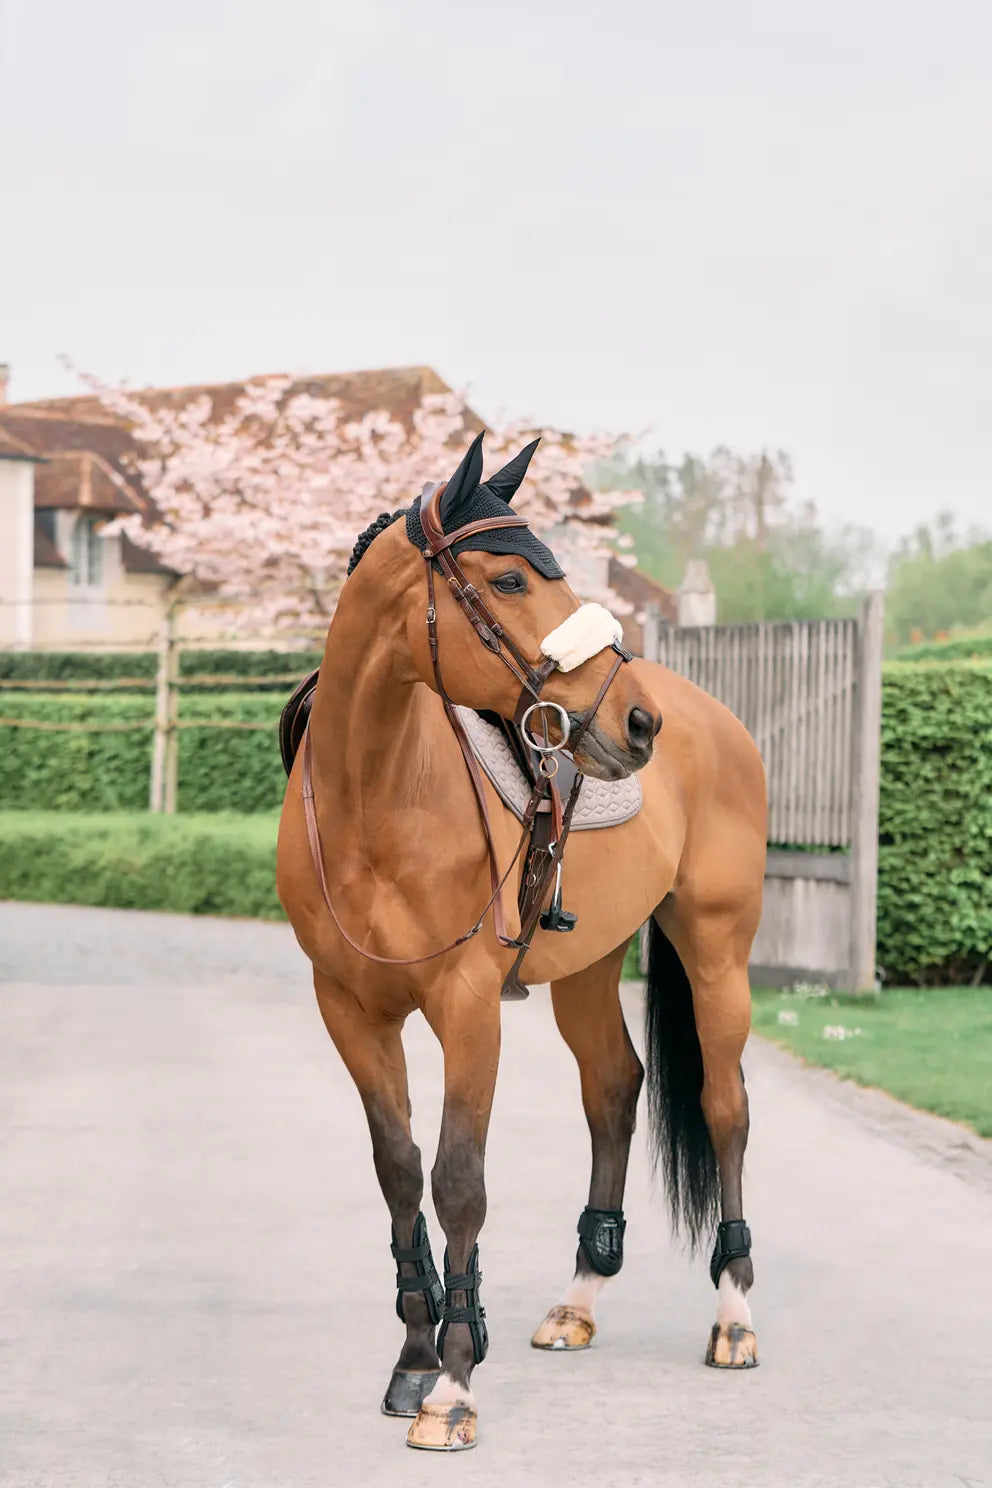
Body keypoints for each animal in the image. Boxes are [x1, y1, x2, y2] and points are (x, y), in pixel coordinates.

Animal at [279, 434, 767, 1452]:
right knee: (614, 1090)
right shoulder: (349, 1010)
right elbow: (400, 1172)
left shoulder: (467, 1008)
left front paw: (454, 1385)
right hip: (588, 971)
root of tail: (710, 717)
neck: (372, 796)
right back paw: (578, 1301)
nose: (636, 722)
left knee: (726, 1107)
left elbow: (460, 1181)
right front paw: (414, 1359)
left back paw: (735, 1315)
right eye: (507, 578)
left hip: (717, 954)